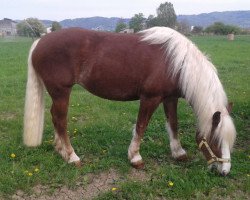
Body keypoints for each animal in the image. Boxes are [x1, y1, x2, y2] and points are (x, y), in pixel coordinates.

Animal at [23, 26, 236, 175]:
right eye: (216, 141)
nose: (225, 172)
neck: (175, 62)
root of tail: (40, 41)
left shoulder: (170, 98)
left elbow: (173, 125)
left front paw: (178, 153)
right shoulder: (150, 98)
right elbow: (141, 126)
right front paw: (135, 158)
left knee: (55, 118)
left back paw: (60, 150)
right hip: (61, 92)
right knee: (60, 120)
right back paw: (71, 156)